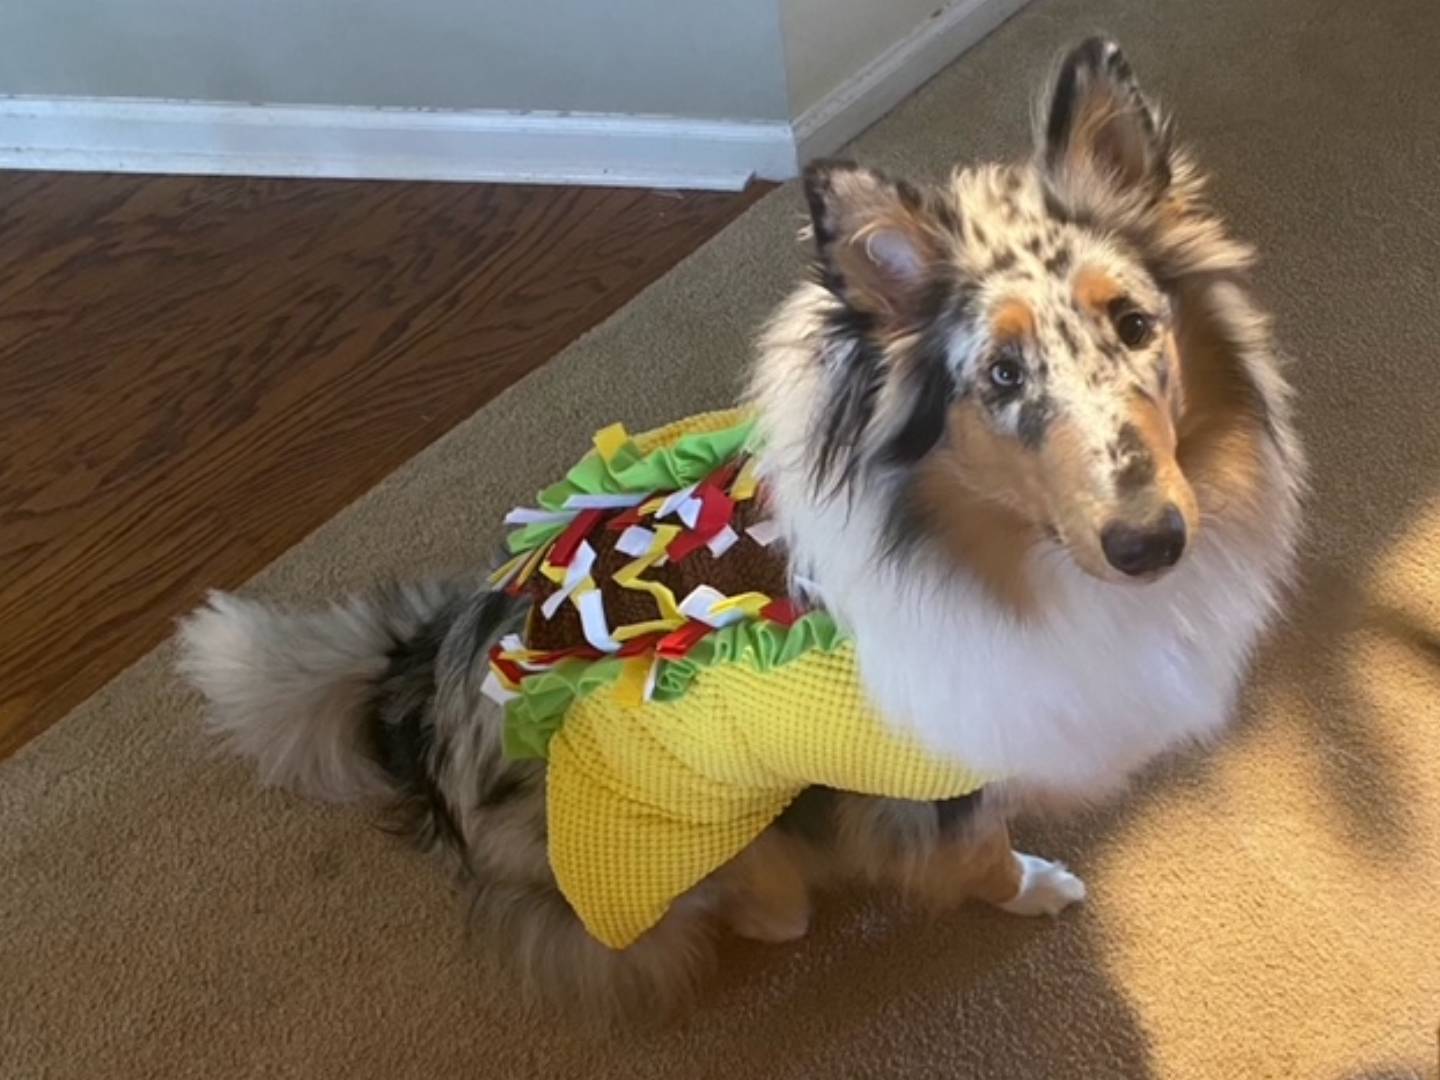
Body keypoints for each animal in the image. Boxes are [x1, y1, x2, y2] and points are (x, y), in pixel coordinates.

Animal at [177, 40, 1307, 1025]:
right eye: (1000, 376)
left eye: (1136, 325)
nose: (1152, 543)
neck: (992, 546)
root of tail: (421, 683)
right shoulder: (931, 770)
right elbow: (978, 847)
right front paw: (1034, 886)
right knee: (742, 908)